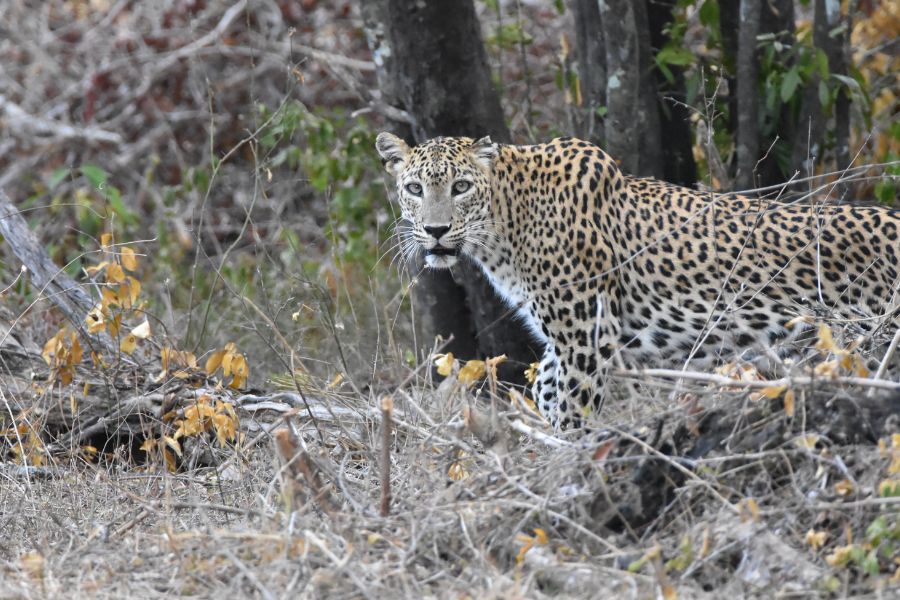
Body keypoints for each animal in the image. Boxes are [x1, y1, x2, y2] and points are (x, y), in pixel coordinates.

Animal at [374, 133, 900, 428]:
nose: (436, 230)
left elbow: (573, 410)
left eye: (461, 187)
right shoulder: (576, 338)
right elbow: (545, 383)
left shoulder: (586, 337)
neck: (506, 225)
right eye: (414, 188)